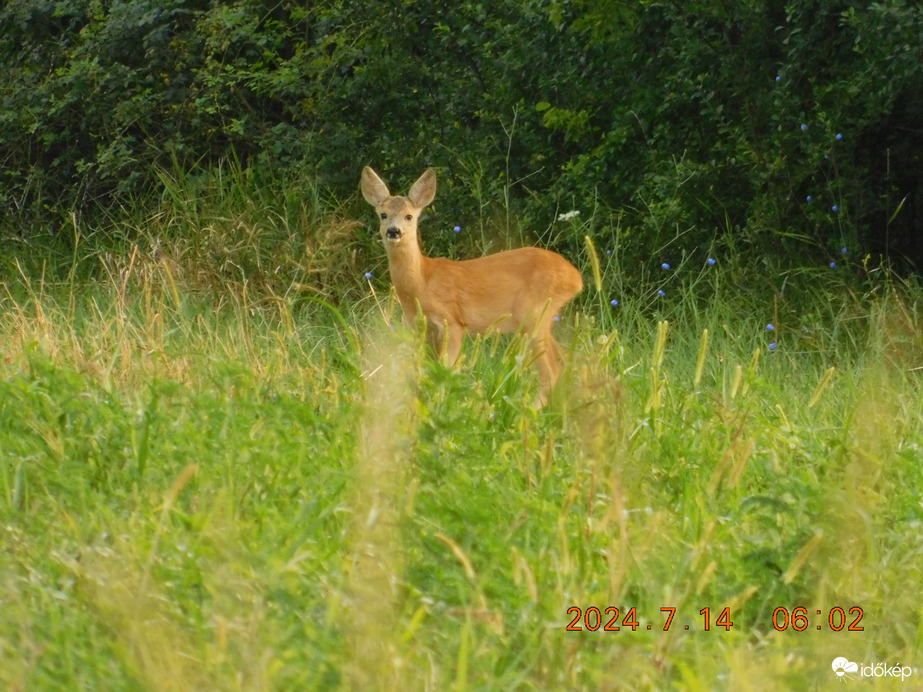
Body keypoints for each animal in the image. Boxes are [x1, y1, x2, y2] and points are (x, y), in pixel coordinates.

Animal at [360, 167, 584, 406]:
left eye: (409, 216)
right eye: (383, 215)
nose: (394, 231)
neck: (421, 284)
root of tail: (576, 278)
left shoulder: (452, 322)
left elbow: (448, 370)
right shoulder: (419, 328)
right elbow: (426, 371)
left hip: (533, 313)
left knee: (551, 370)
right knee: (564, 359)